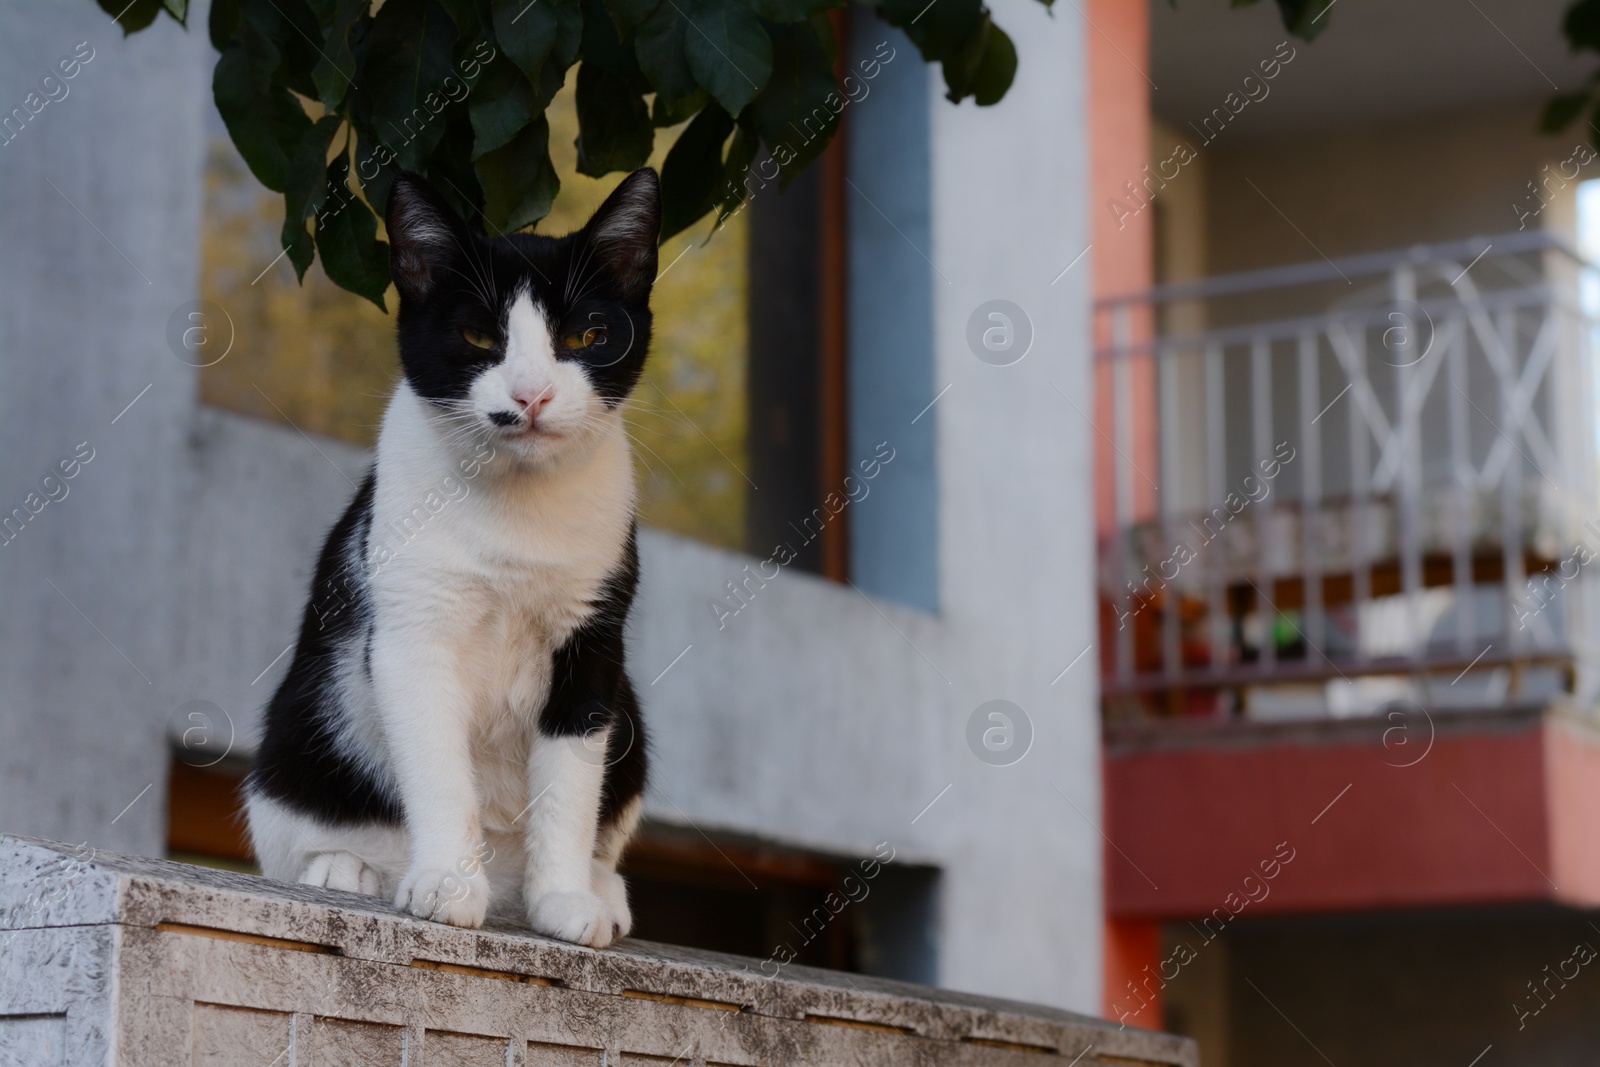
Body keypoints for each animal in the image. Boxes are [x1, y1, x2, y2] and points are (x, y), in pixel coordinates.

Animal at [243, 163, 656, 947]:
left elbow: (569, 783)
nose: (532, 393)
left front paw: (564, 896)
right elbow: (437, 769)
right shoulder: (412, 633)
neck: (515, 509)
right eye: (477, 334)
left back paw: (599, 889)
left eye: (584, 333)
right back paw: (347, 868)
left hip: (632, 722)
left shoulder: (594, 643)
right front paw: (445, 882)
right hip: (297, 737)